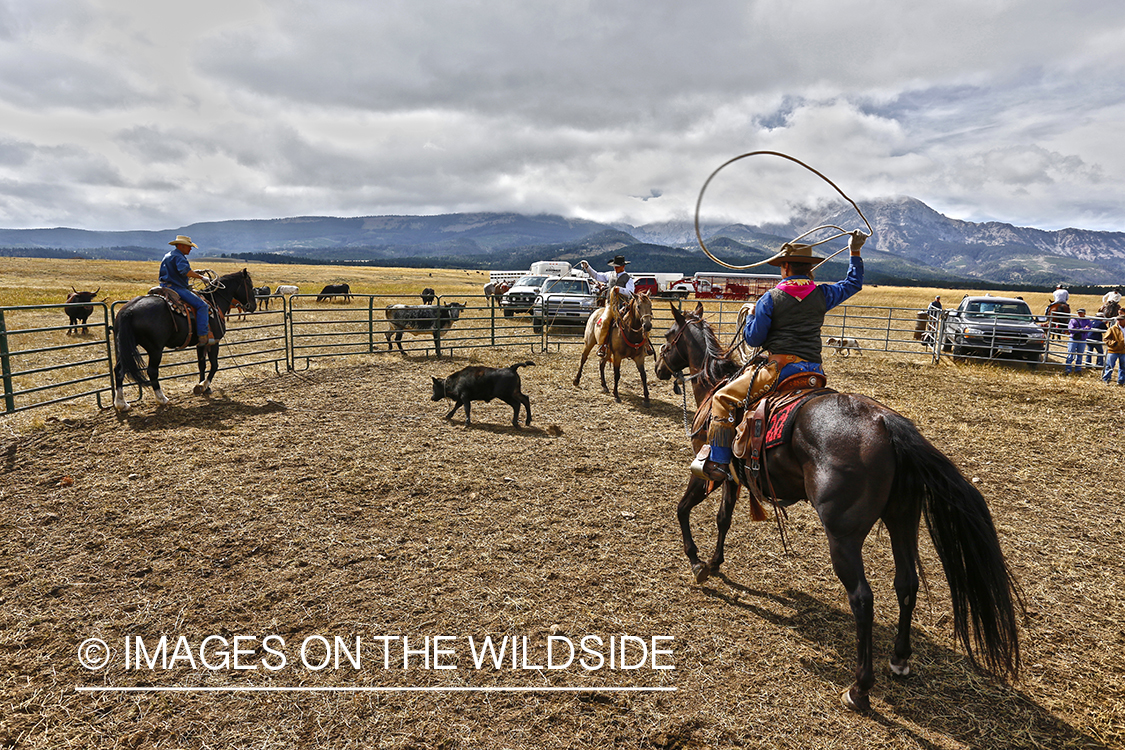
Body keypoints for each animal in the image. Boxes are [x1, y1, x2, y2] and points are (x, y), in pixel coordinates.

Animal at [111, 269, 257, 411]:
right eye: (250, 286)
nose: (253, 306)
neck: (214, 302)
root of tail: (129, 310)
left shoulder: (202, 343)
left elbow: (202, 365)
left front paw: (203, 387)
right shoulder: (214, 342)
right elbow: (214, 365)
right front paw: (203, 386)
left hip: (127, 346)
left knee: (119, 369)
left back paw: (121, 403)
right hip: (155, 349)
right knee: (152, 371)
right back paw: (162, 399)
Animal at [648, 303, 1026, 710]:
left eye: (667, 336)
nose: (658, 367)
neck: (717, 386)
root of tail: (888, 423)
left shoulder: (709, 472)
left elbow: (683, 509)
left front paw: (697, 563)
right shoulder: (734, 478)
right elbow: (723, 519)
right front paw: (715, 562)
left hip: (843, 536)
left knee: (862, 598)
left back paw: (860, 688)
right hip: (902, 519)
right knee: (906, 583)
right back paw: (900, 658)